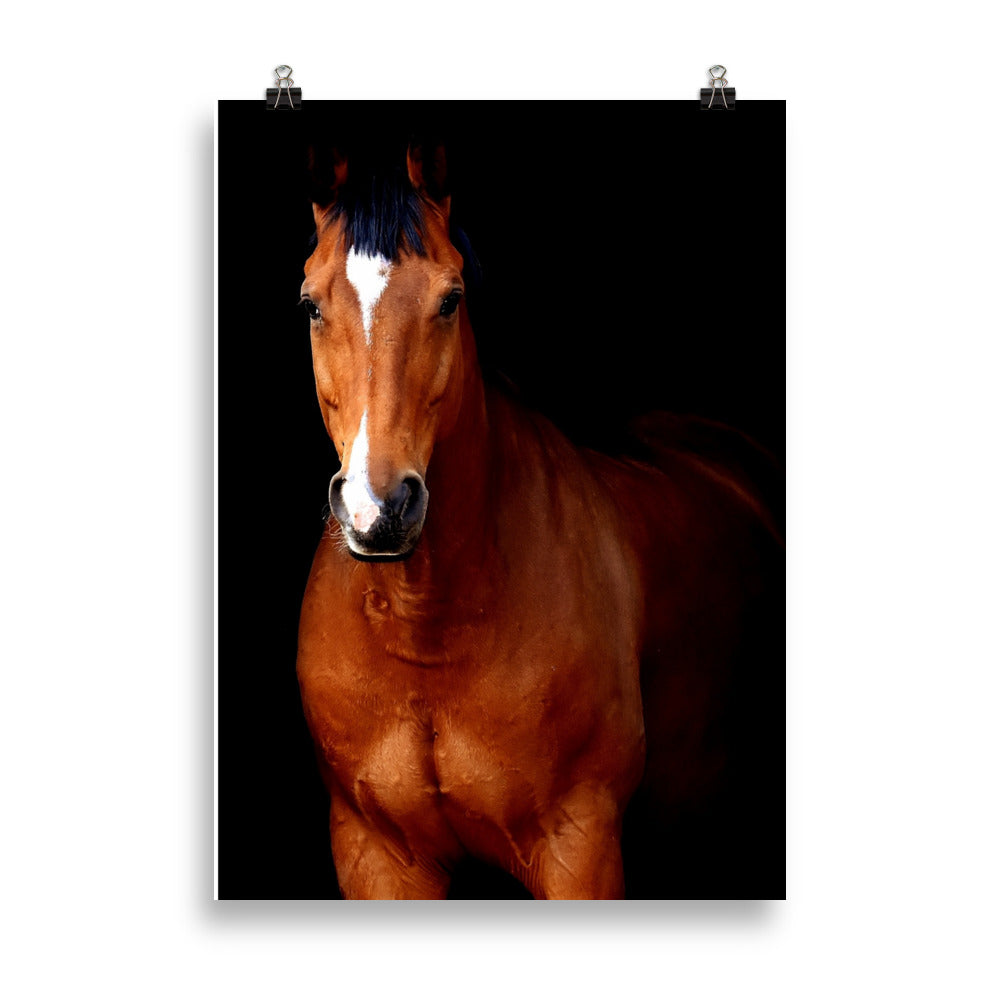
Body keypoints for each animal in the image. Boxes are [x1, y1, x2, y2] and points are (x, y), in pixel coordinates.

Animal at [295, 139, 783, 899]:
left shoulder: (578, 846)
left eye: (450, 300)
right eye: (312, 304)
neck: (426, 631)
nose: (380, 510)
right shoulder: (374, 853)